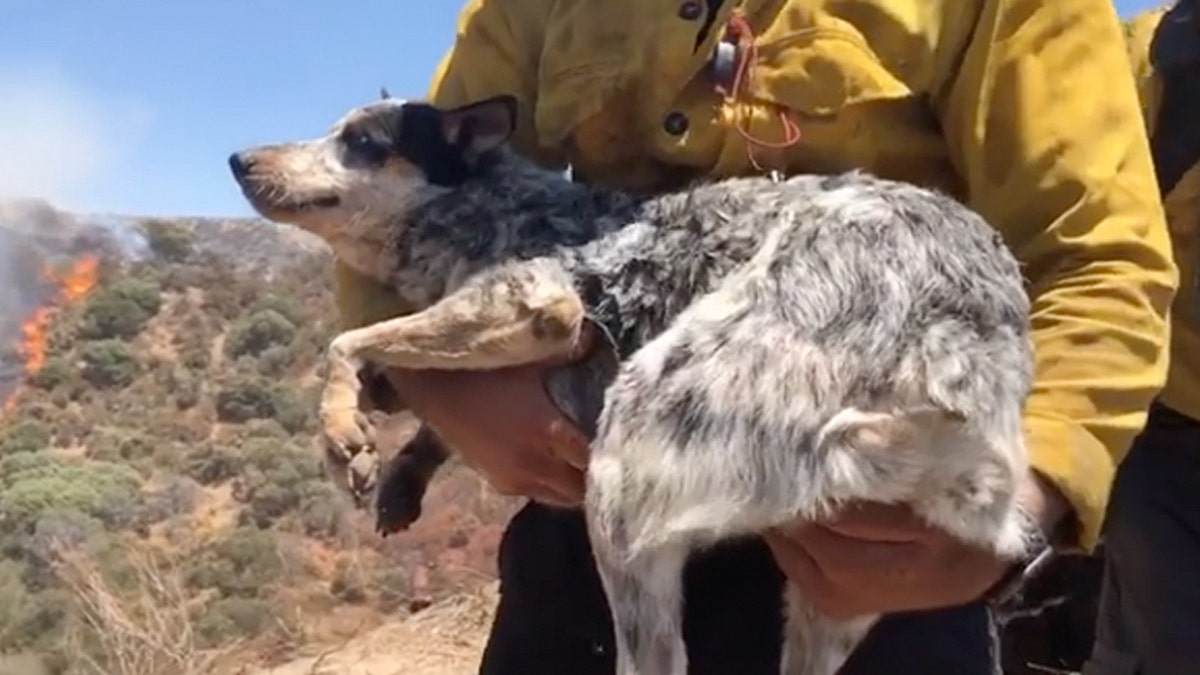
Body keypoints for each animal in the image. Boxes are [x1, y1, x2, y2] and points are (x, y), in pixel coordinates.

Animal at [231, 90, 1041, 672]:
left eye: (363, 142)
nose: (239, 158)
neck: (483, 205)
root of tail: (968, 346)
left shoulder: (539, 302)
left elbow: (346, 342)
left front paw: (344, 433)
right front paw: (400, 467)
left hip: (628, 460)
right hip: (838, 590)